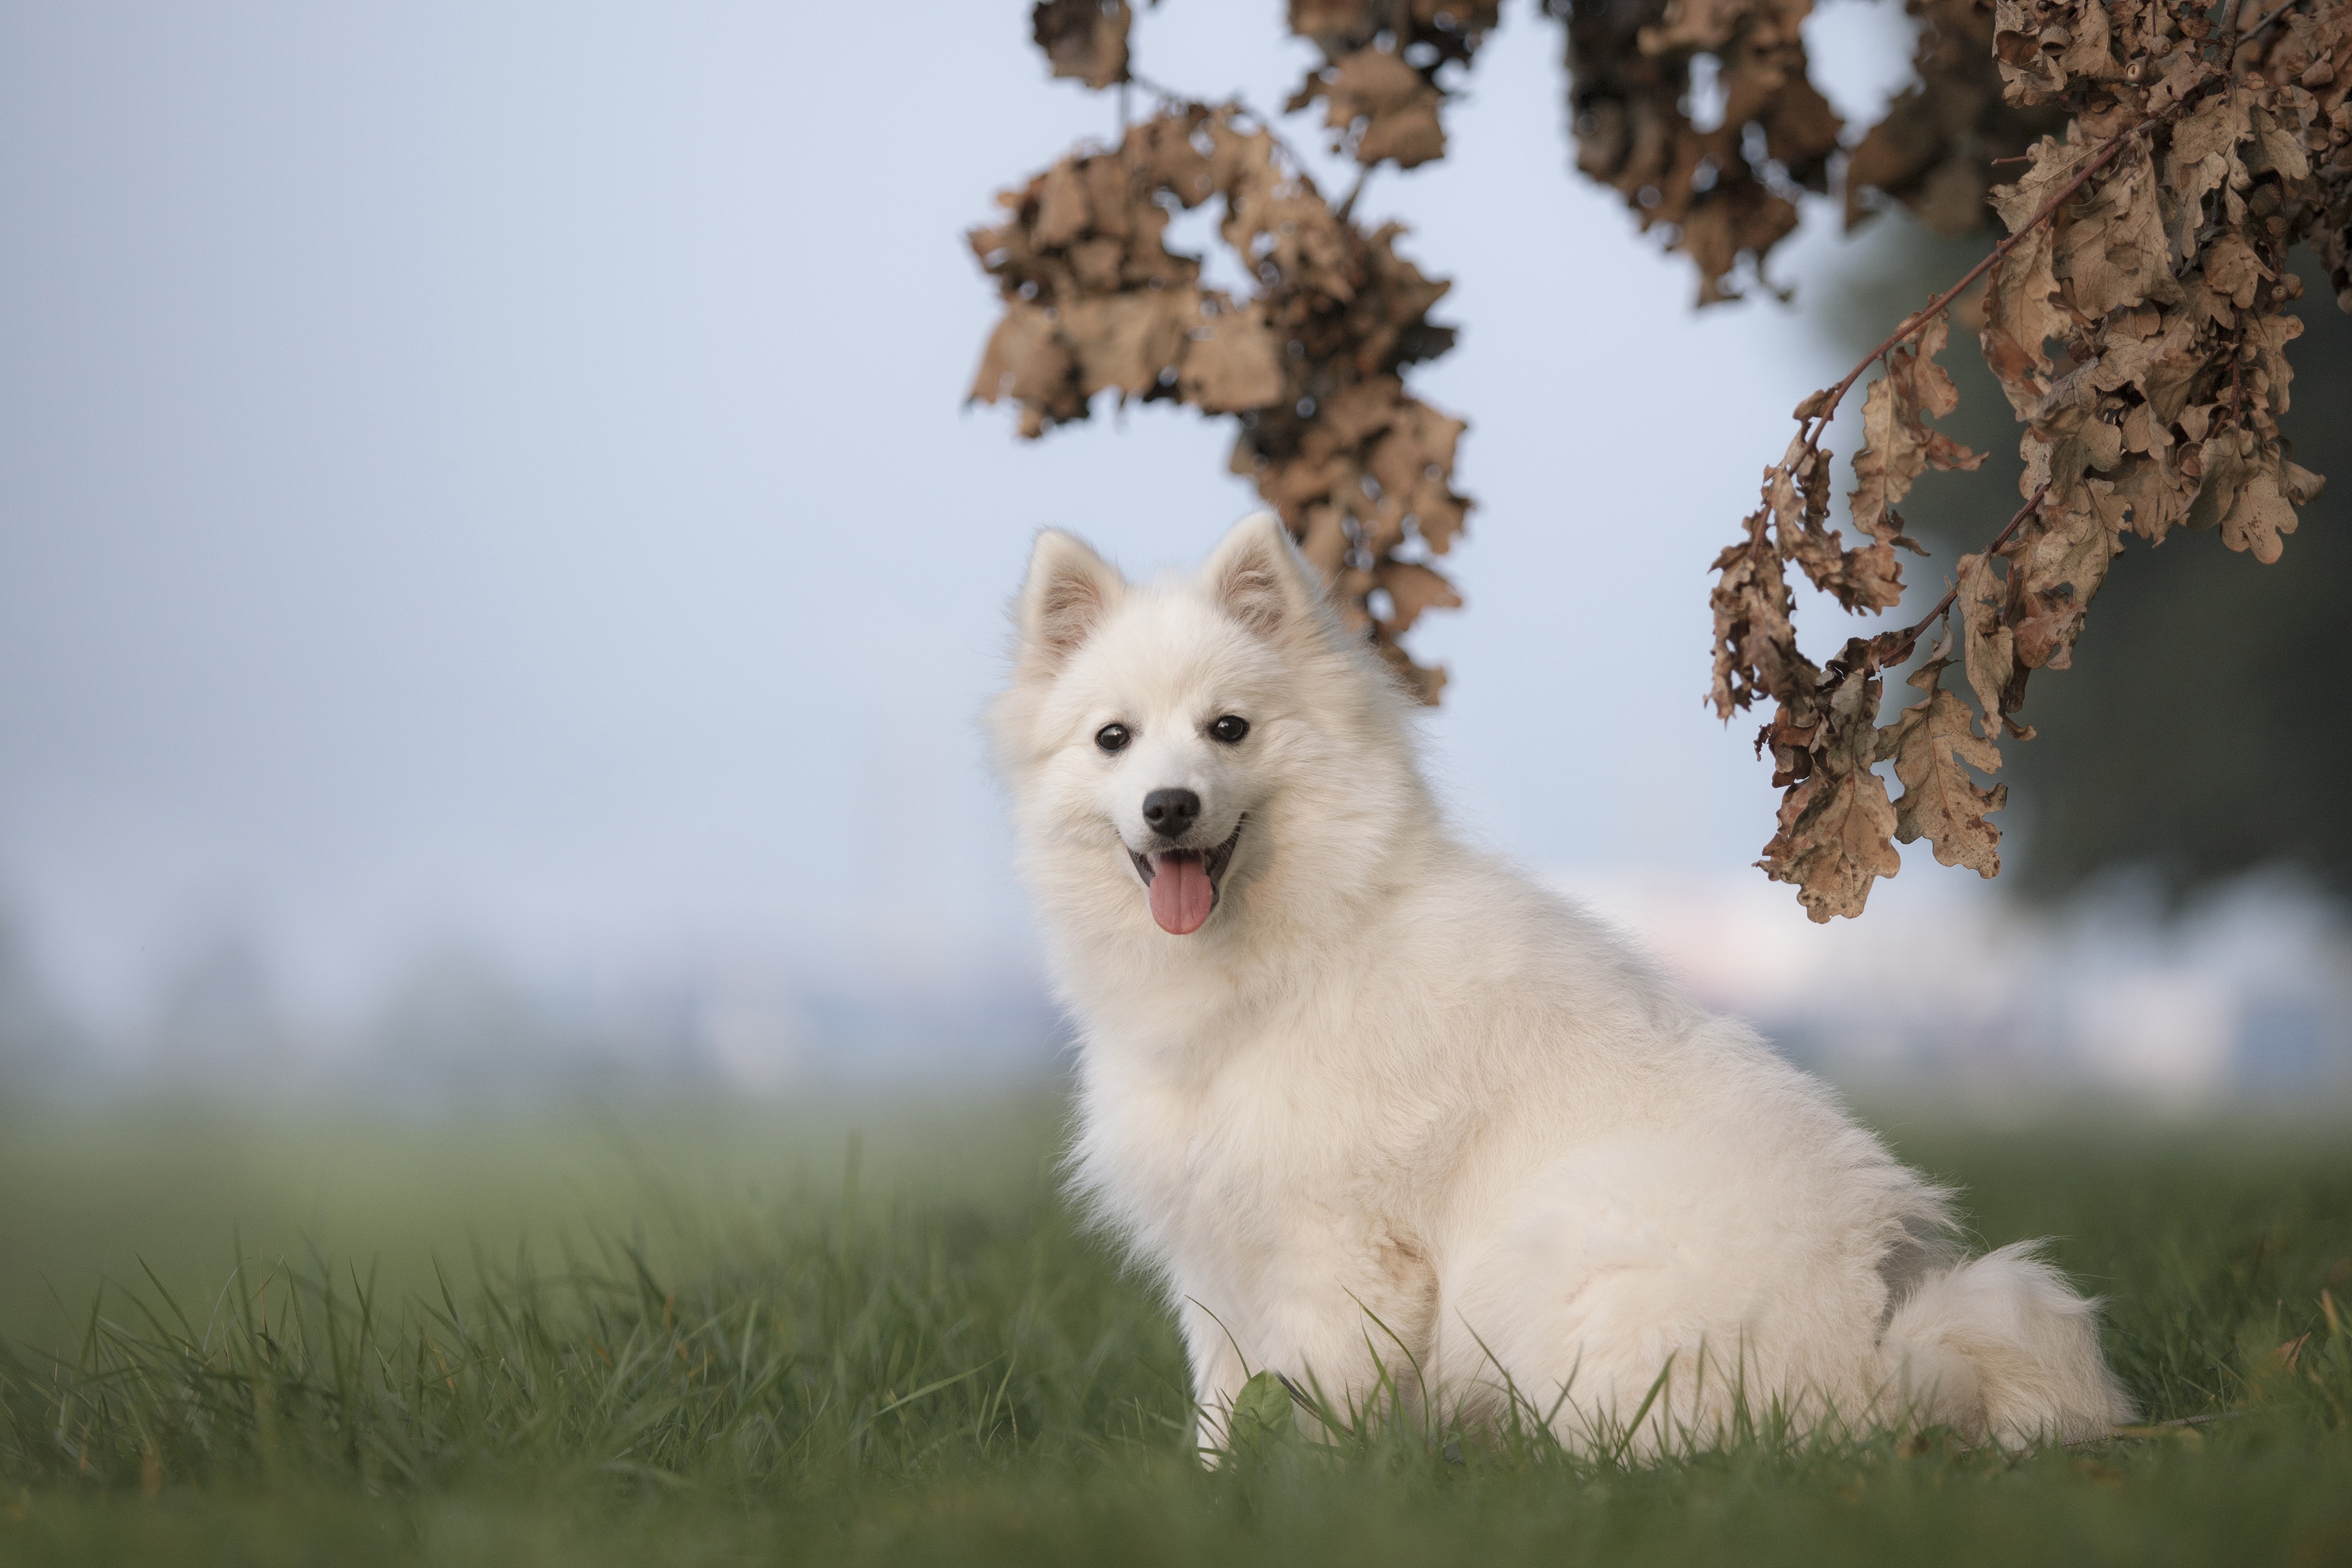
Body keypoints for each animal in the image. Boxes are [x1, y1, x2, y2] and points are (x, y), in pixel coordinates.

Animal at [987, 514, 2135, 1457]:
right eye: (1114, 740)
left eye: (1229, 728)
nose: (1169, 807)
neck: (1293, 954)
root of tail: (1877, 1352)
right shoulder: (1217, 1258)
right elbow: (1225, 1411)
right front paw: (1222, 1490)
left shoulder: (1342, 1249)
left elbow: (1318, 1404)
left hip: (1544, 1255)